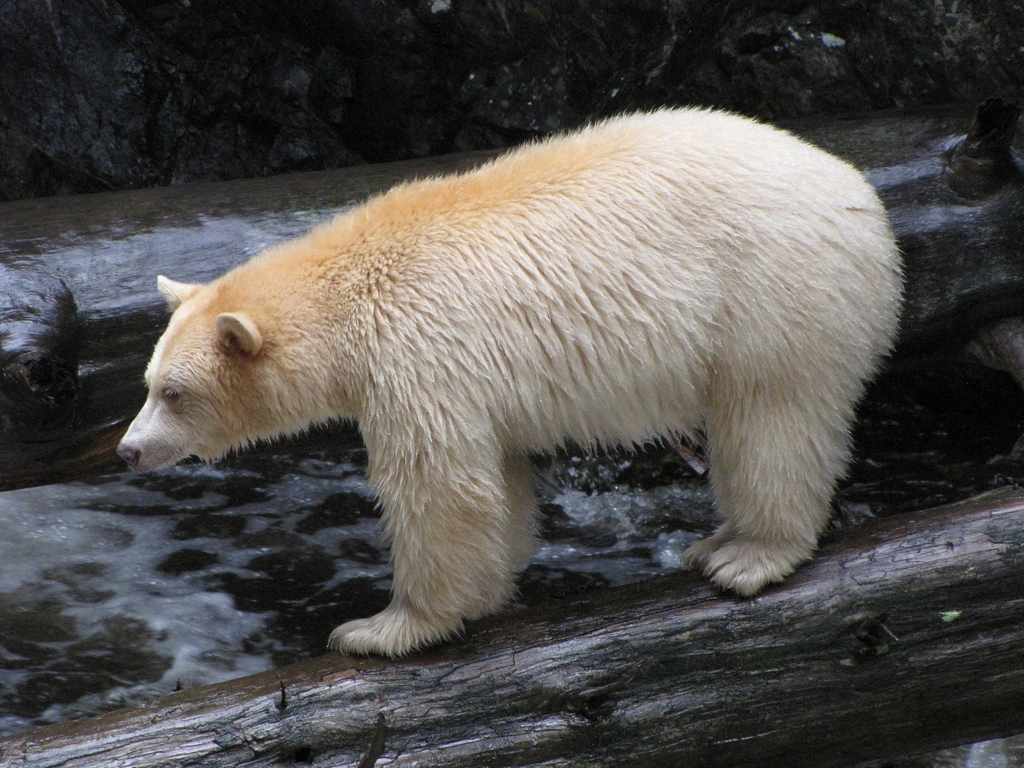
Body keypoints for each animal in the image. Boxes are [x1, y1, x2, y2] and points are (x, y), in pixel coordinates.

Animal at [119, 108, 901, 659]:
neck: (348, 292)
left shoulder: (416, 350)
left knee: (772, 417)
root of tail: (863, 196)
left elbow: (438, 487)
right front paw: (485, 593)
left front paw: (381, 628)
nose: (128, 450)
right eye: (148, 382)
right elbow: (494, 475)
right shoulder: (459, 374)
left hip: (772, 297)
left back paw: (744, 553)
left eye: (174, 394)